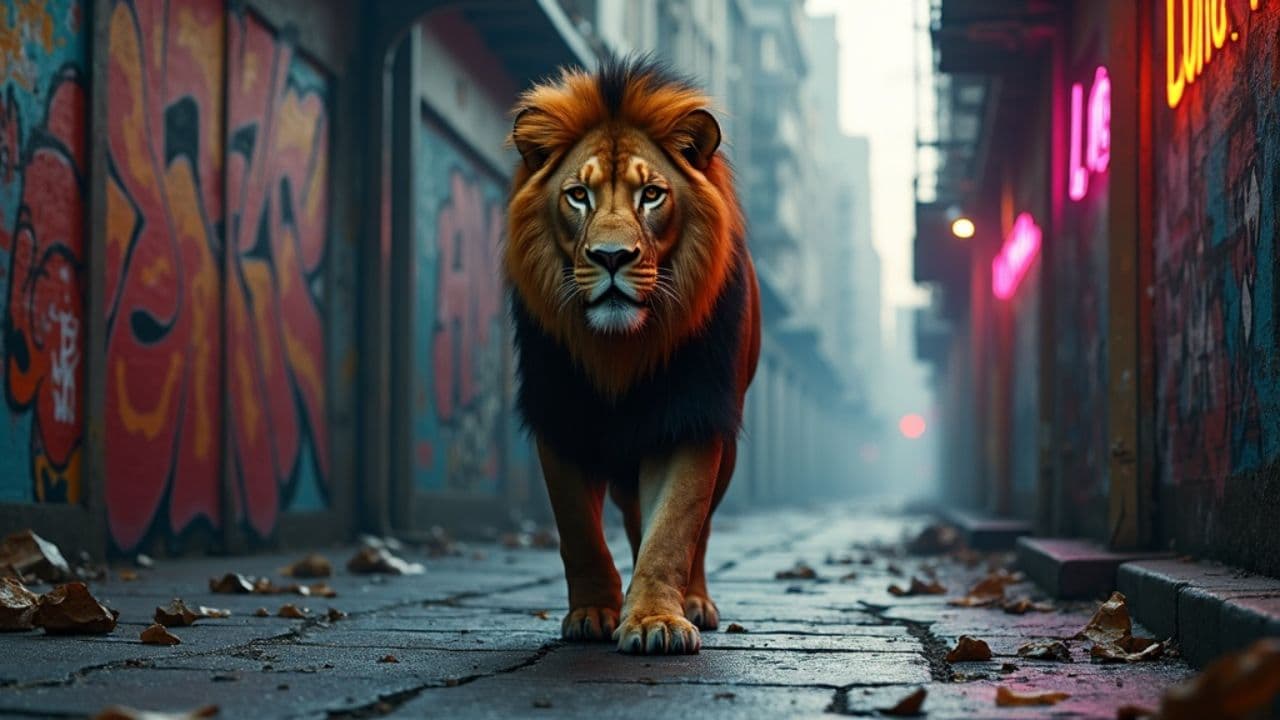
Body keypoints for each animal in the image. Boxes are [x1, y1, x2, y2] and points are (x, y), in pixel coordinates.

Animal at [504, 56, 761, 655]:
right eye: (579, 195)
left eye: (651, 196)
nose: (612, 256)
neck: (618, 349)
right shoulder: (559, 413)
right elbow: (578, 530)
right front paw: (594, 611)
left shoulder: (692, 414)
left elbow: (673, 531)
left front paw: (655, 621)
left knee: (698, 533)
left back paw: (695, 601)